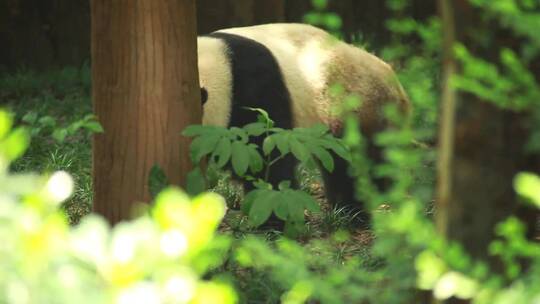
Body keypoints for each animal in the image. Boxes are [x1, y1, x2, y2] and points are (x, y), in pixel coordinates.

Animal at [197, 23, 410, 223]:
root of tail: (397, 86)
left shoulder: (254, 86)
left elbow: (266, 154)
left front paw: (274, 213)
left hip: (354, 104)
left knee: (356, 163)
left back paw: (354, 210)